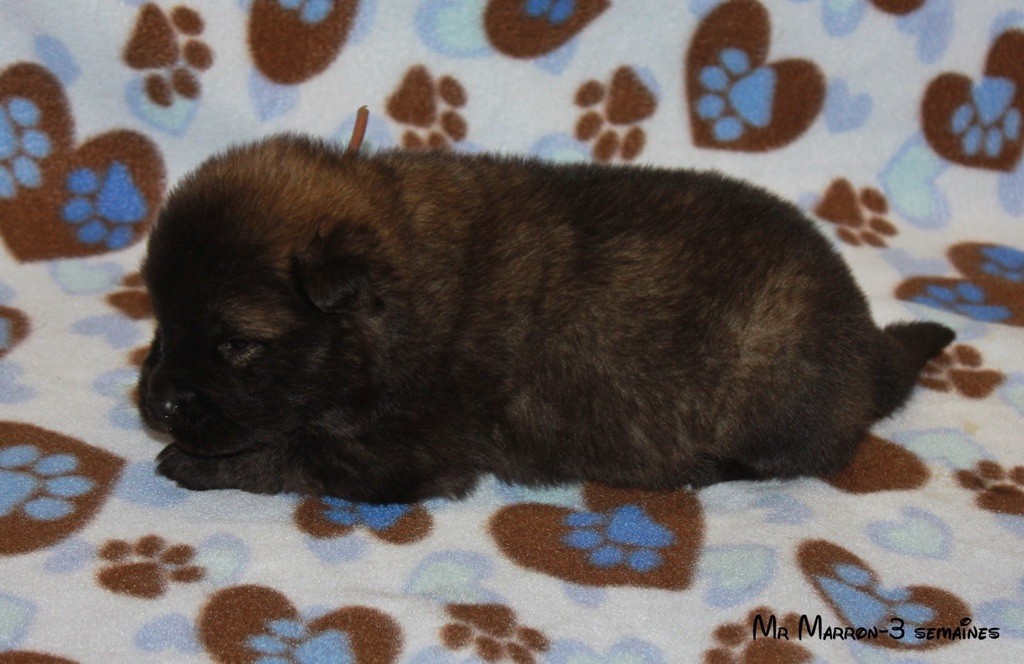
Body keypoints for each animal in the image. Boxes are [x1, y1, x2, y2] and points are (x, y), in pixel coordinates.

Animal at [138, 134, 954, 503]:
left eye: (235, 344)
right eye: (157, 317)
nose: (156, 403)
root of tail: (869, 345)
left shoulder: (397, 451)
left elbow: (290, 455)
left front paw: (195, 464)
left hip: (772, 382)